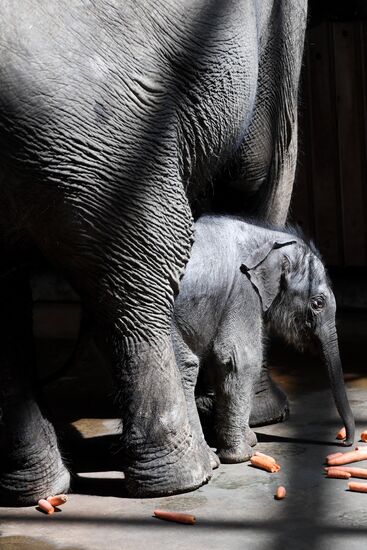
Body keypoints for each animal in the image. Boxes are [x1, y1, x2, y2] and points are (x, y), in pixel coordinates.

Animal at [0, 0, 308, 504]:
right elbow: (259, 166)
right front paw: (262, 416)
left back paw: (37, 489)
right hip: (107, 142)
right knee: (143, 278)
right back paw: (188, 477)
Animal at [174, 216, 356, 466]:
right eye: (318, 303)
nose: (346, 442)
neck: (265, 237)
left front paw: (249, 440)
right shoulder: (242, 290)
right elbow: (240, 359)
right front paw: (242, 454)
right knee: (185, 368)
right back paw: (208, 463)